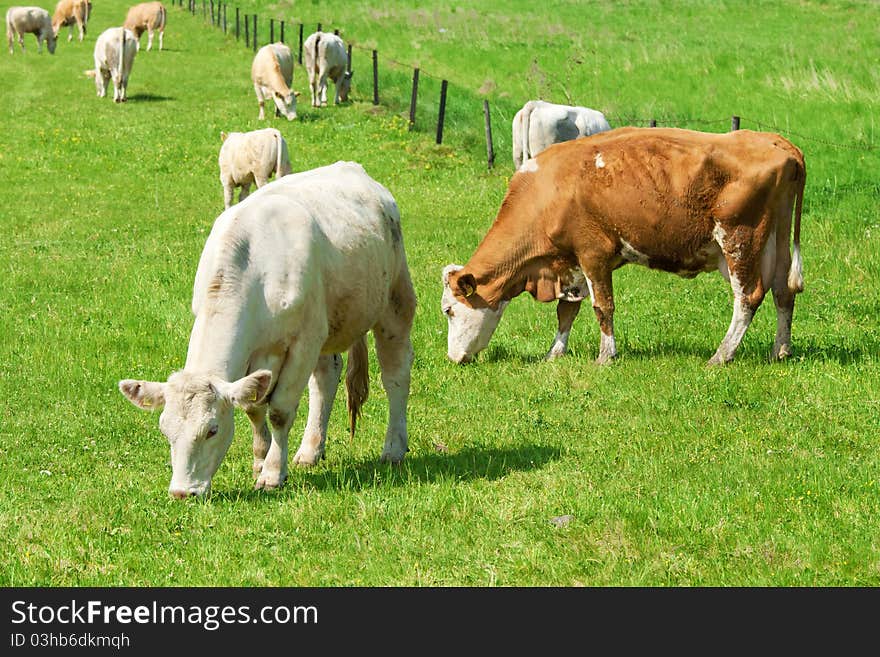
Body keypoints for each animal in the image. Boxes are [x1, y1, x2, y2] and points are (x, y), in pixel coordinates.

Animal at [118, 160, 418, 498]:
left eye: (212, 430)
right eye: (165, 430)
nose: (183, 492)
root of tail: (354, 168)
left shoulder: (303, 342)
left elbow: (279, 411)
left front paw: (273, 473)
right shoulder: (262, 353)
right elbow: (253, 407)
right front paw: (261, 462)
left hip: (394, 300)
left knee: (395, 374)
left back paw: (394, 447)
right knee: (326, 377)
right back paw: (310, 450)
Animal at [444, 125, 808, 366]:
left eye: (448, 310)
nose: (453, 357)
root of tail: (777, 142)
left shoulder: (593, 253)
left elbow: (602, 308)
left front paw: (605, 356)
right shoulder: (572, 263)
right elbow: (567, 311)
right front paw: (554, 353)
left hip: (739, 240)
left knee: (748, 297)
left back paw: (721, 355)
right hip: (776, 240)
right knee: (783, 291)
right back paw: (781, 350)